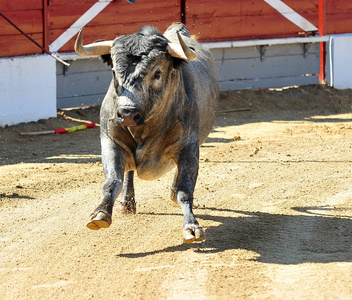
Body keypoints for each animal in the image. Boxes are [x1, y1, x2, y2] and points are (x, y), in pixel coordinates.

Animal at [74, 23, 217, 244]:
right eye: (114, 71)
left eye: (157, 73)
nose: (127, 113)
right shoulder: (111, 142)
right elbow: (112, 181)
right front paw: (101, 213)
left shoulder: (189, 147)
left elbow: (185, 191)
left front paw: (192, 227)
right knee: (129, 172)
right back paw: (127, 203)